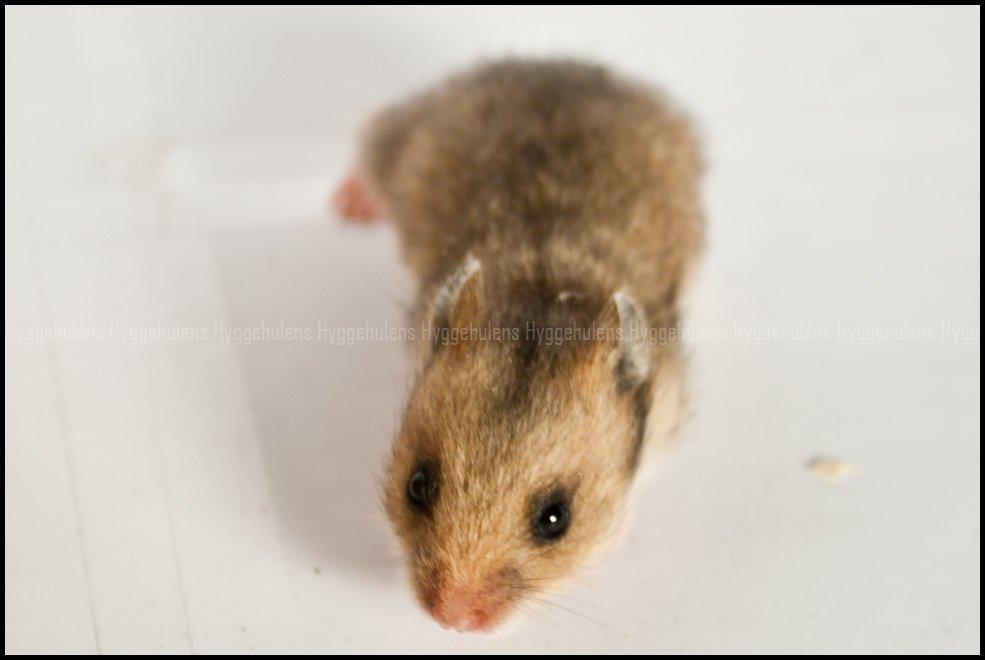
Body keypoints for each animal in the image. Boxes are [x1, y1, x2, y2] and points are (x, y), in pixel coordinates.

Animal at [334, 58, 703, 633]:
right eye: (417, 485)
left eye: (556, 519)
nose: (453, 623)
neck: (544, 297)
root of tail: (554, 64)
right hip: (399, 136)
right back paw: (347, 206)